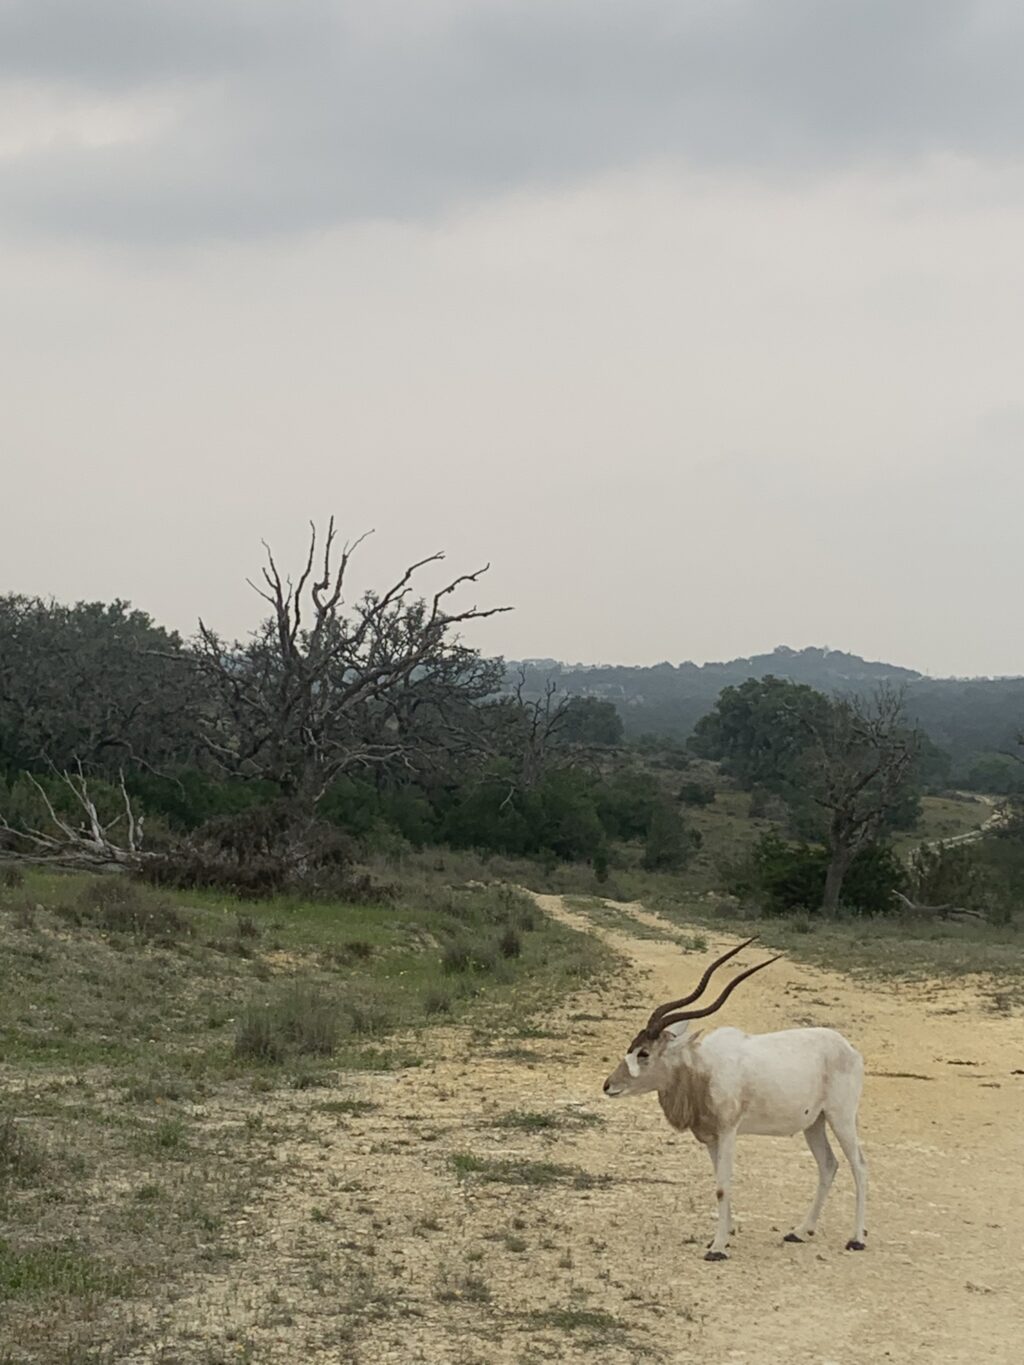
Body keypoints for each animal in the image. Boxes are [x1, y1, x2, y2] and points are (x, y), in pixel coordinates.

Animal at [606, 939, 868, 1255]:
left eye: (643, 1053)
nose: (608, 1085)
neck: (703, 1069)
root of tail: (849, 1049)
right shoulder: (710, 1137)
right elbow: (719, 1182)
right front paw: (725, 1234)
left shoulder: (729, 1131)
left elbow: (723, 1186)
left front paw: (717, 1248)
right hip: (814, 1123)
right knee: (829, 1164)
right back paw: (800, 1231)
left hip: (841, 1117)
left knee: (859, 1165)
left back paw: (857, 1238)